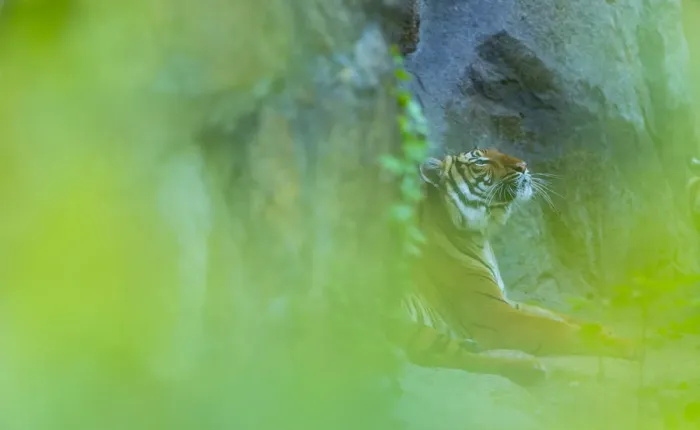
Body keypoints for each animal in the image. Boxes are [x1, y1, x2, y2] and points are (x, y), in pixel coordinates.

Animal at [390, 148, 638, 386]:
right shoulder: (496, 315)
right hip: (407, 325)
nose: (523, 165)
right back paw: (528, 368)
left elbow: (558, 315)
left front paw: (604, 329)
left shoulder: (506, 301)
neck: (481, 236)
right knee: (446, 357)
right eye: (480, 163)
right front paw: (631, 344)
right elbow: (558, 328)